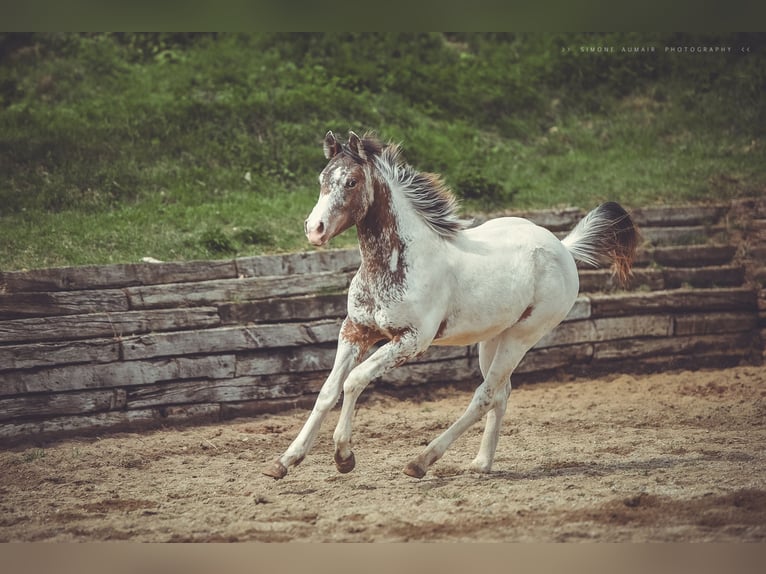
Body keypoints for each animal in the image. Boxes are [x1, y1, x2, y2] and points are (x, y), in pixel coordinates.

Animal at [263, 130, 639, 480]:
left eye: (351, 182)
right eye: (322, 179)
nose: (314, 229)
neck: (395, 263)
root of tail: (564, 247)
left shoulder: (411, 340)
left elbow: (353, 381)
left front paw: (344, 457)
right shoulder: (356, 330)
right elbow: (327, 391)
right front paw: (284, 461)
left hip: (523, 336)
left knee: (484, 395)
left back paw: (420, 462)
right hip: (492, 338)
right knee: (501, 393)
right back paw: (481, 463)